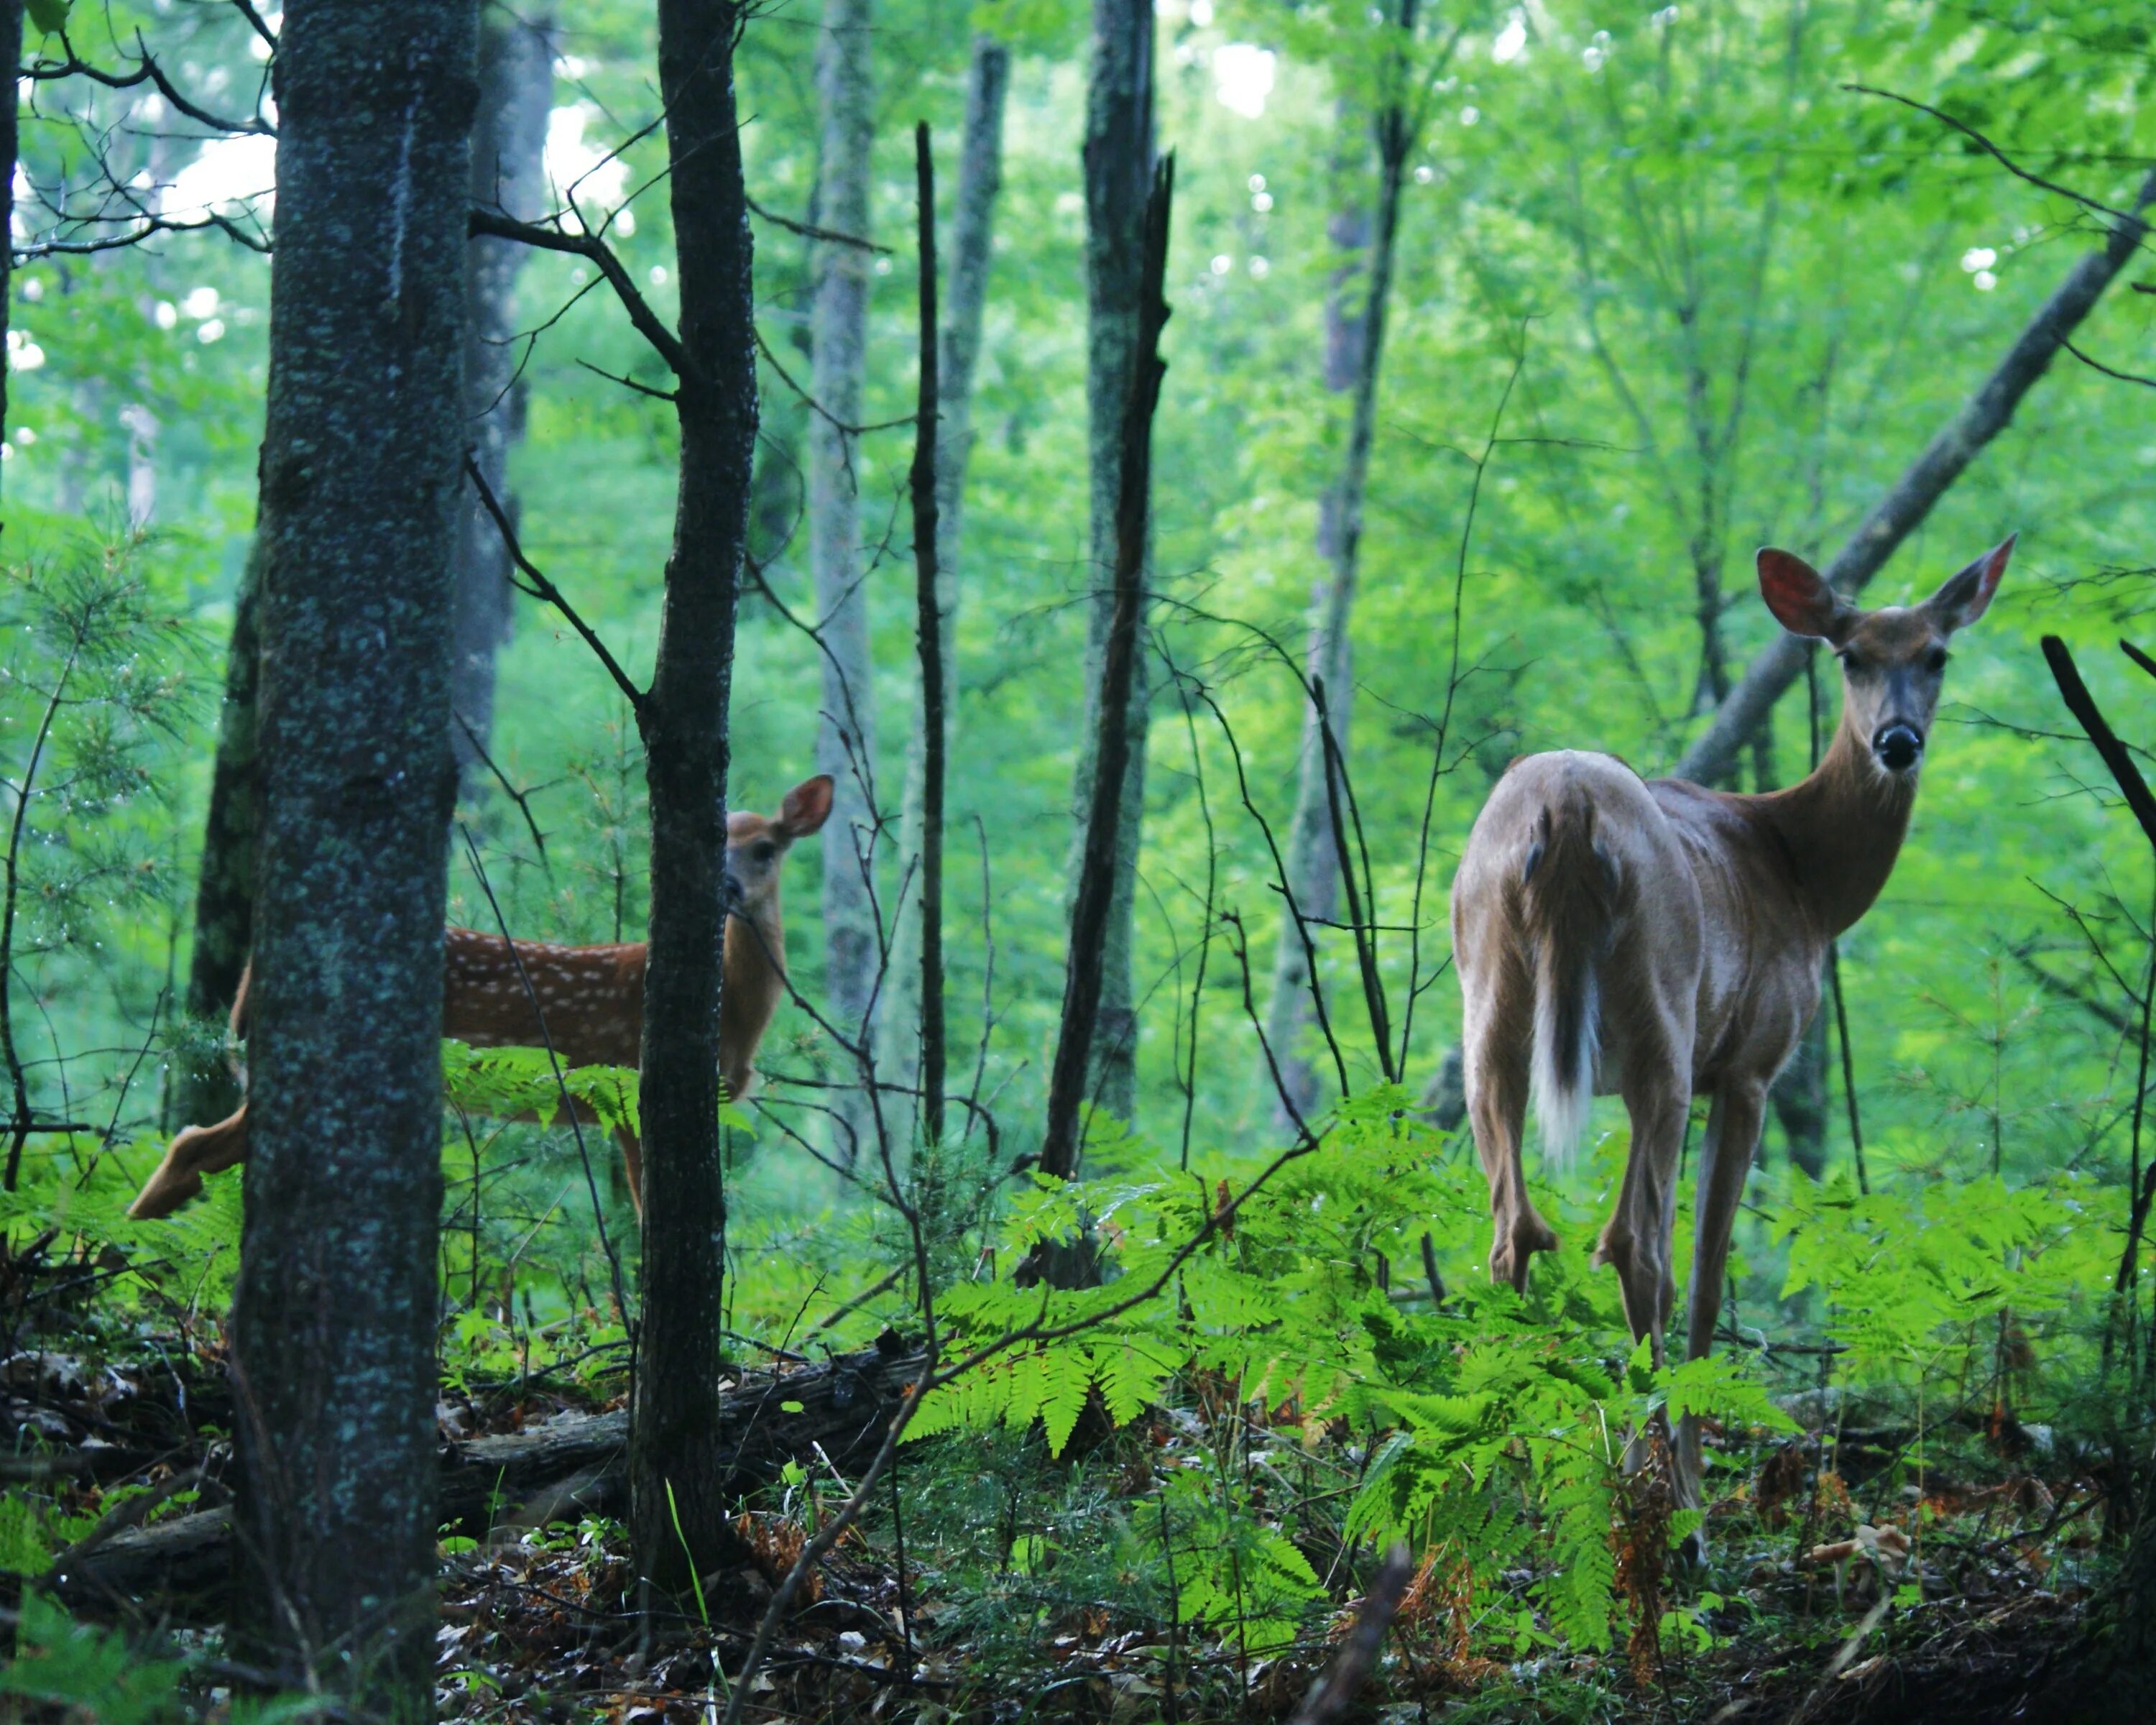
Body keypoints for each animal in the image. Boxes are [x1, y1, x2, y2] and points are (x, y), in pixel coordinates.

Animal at [126, 776, 832, 1216]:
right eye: (716, 846)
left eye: (765, 849)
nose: (729, 890)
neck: (736, 1019)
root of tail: (250, 978)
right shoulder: (630, 1090)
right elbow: (642, 1216)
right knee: (194, 1146)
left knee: (193, 1146)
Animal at [1457, 535, 2009, 1492]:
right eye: (1850, 656)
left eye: (1937, 655)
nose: (1899, 741)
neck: (1805, 878)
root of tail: (1564, 806)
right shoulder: (1752, 1062)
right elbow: (1711, 1271)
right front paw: (1683, 1467)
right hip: (1662, 1023)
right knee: (1637, 1247)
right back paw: (1667, 1491)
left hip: (1489, 1010)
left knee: (1512, 1234)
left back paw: (1507, 1471)